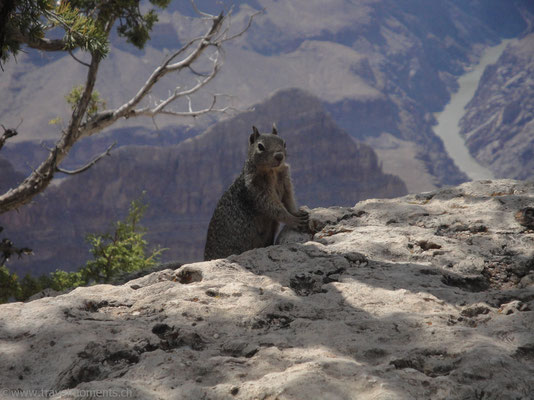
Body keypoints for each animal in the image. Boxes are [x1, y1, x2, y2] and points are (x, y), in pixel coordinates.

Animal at [206, 126, 314, 260]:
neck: (272, 172)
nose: (279, 156)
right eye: (260, 146)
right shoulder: (257, 190)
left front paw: (297, 213)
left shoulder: (286, 183)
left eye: (284, 143)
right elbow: (274, 208)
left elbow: (289, 201)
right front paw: (294, 220)